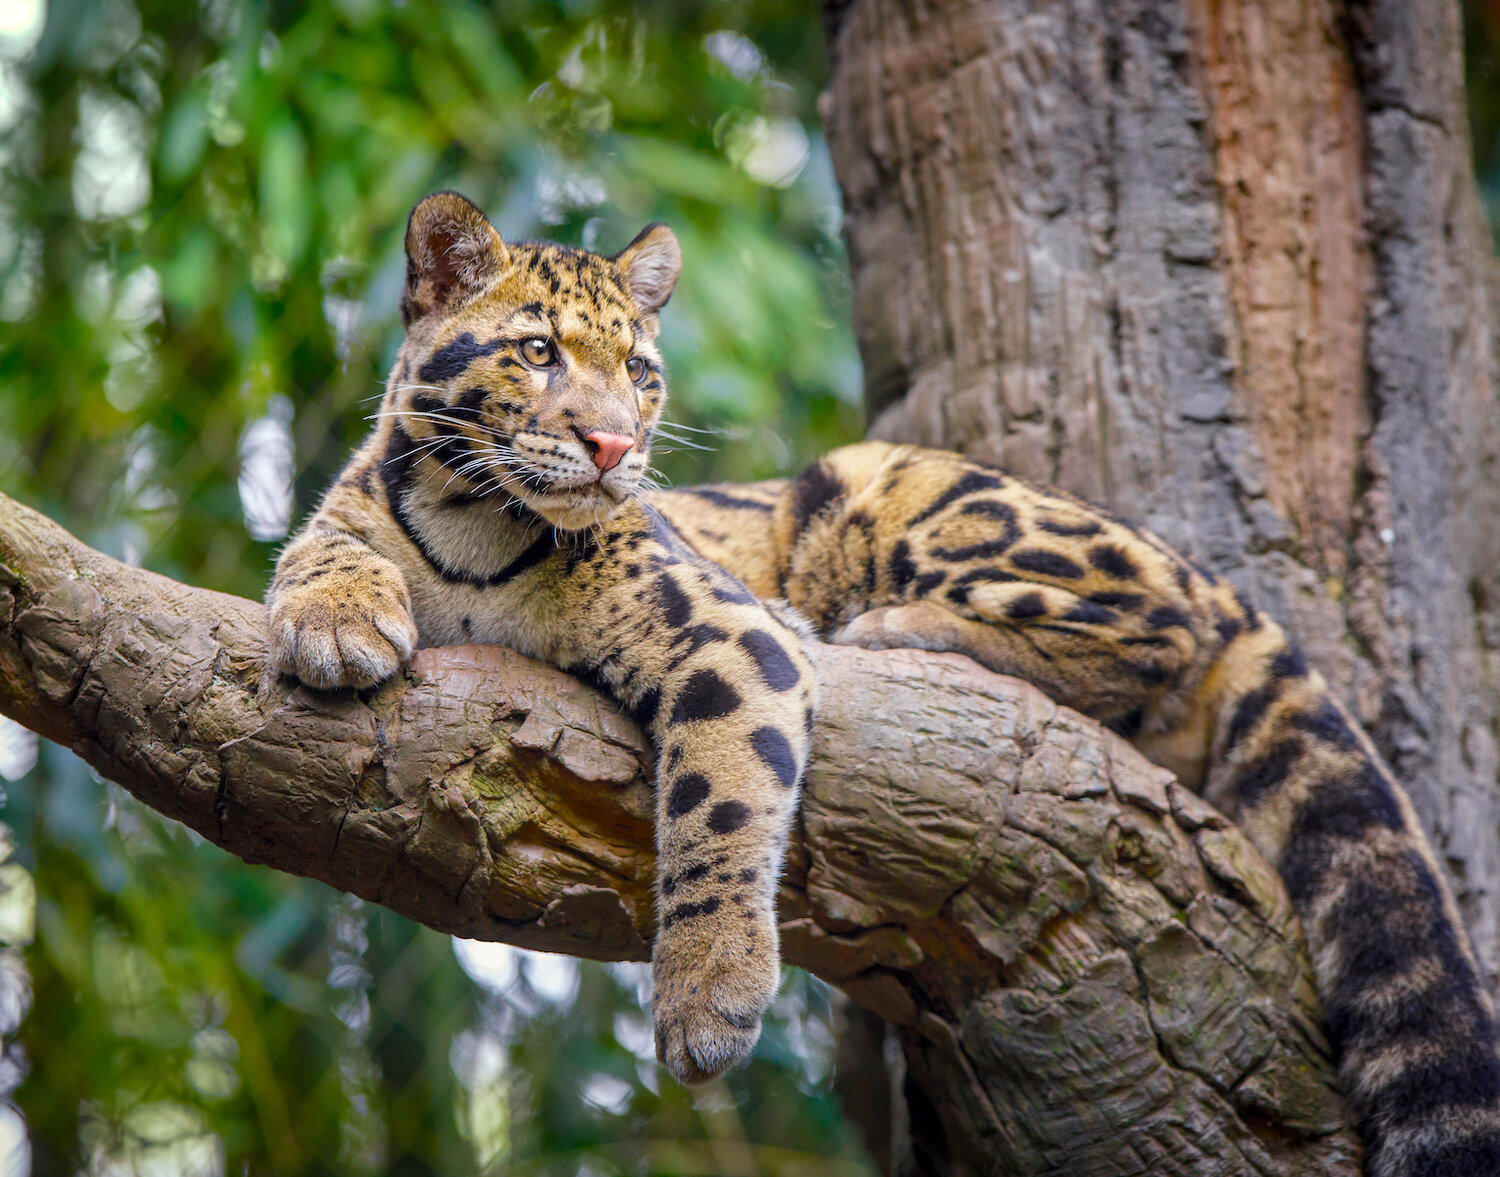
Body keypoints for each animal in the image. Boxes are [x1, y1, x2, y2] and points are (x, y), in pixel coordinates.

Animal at [273, 188, 1500, 1169]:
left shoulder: (728, 630)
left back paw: (893, 625)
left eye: (640, 371)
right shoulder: (359, 509)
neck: (474, 522)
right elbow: (319, 546)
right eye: (536, 353)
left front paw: (708, 993)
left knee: (1159, 627)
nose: (617, 448)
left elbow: (719, 803)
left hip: (897, 488)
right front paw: (336, 621)